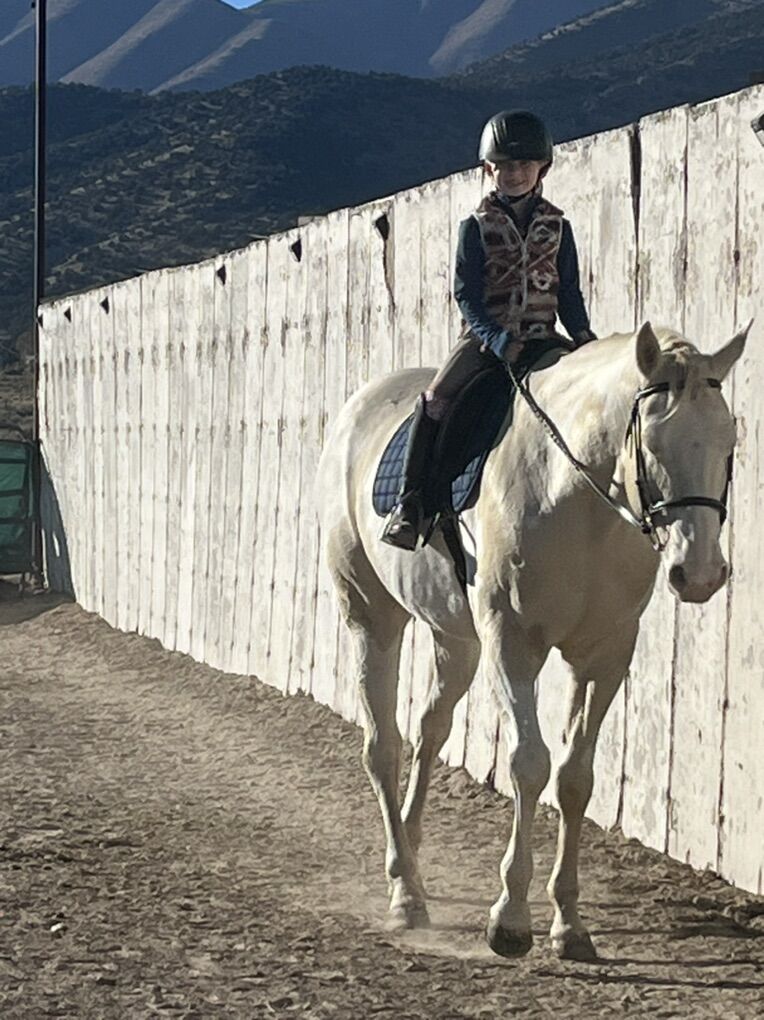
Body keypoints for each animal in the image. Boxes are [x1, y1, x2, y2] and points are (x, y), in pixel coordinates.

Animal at [316, 321, 748, 960]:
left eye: (728, 439)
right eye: (653, 444)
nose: (698, 575)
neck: (578, 503)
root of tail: (360, 404)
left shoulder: (605, 654)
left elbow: (574, 778)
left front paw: (569, 923)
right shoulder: (511, 641)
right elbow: (528, 762)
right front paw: (511, 920)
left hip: (456, 640)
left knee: (429, 729)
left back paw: (414, 860)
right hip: (373, 617)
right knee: (382, 745)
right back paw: (405, 895)